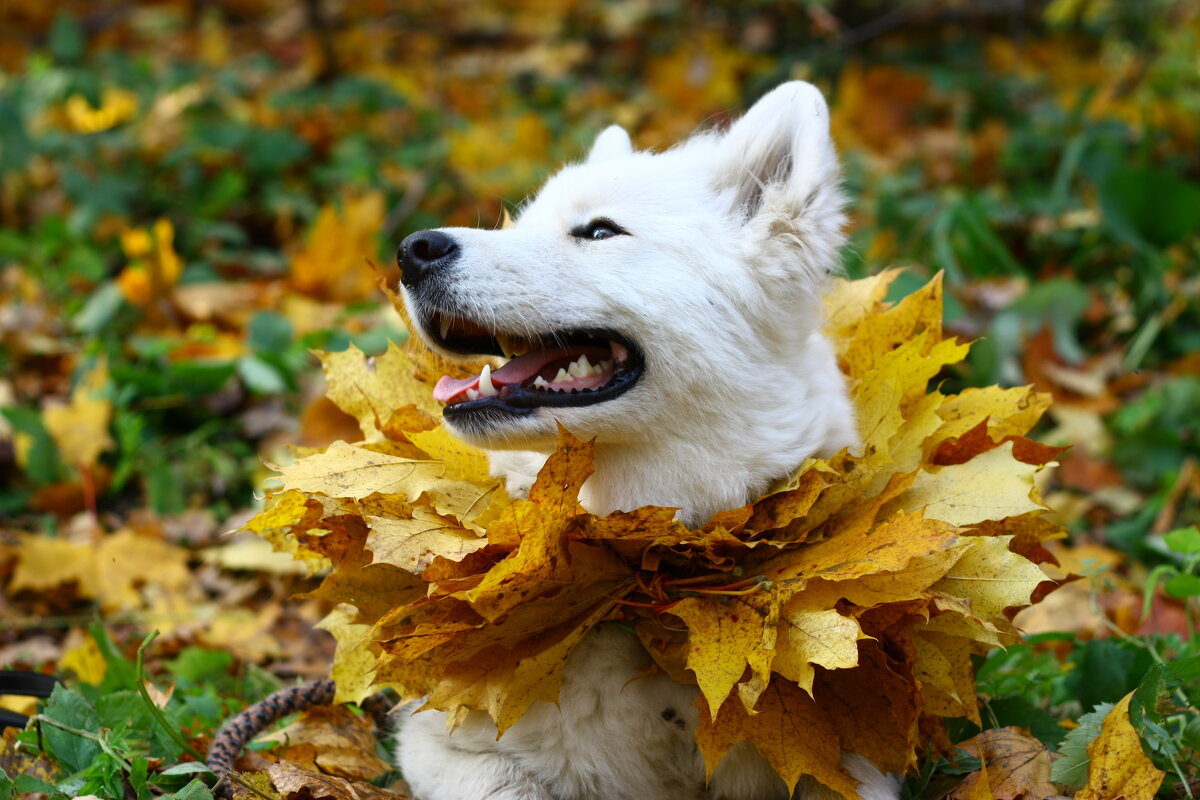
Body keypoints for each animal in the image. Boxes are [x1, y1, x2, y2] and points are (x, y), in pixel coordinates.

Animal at [393, 82, 902, 800]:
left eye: (600, 231)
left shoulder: (849, 763)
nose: (414, 249)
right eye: (521, 223)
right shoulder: (447, 748)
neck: (647, 564)